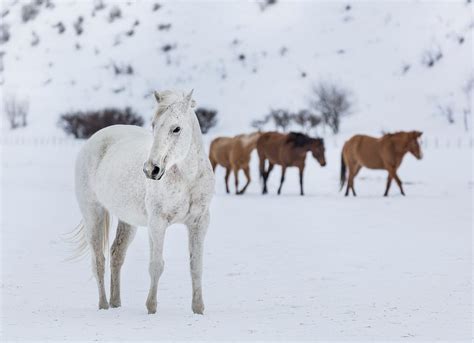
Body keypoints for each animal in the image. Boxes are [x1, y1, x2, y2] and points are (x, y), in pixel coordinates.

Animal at [74, 89, 215, 314]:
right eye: (154, 125)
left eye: (176, 128)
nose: (151, 169)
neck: (187, 178)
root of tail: (94, 138)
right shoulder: (157, 223)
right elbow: (156, 265)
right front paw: (151, 308)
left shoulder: (199, 222)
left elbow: (196, 266)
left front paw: (198, 309)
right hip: (93, 214)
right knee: (98, 261)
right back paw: (104, 305)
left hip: (127, 221)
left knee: (116, 255)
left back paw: (116, 303)